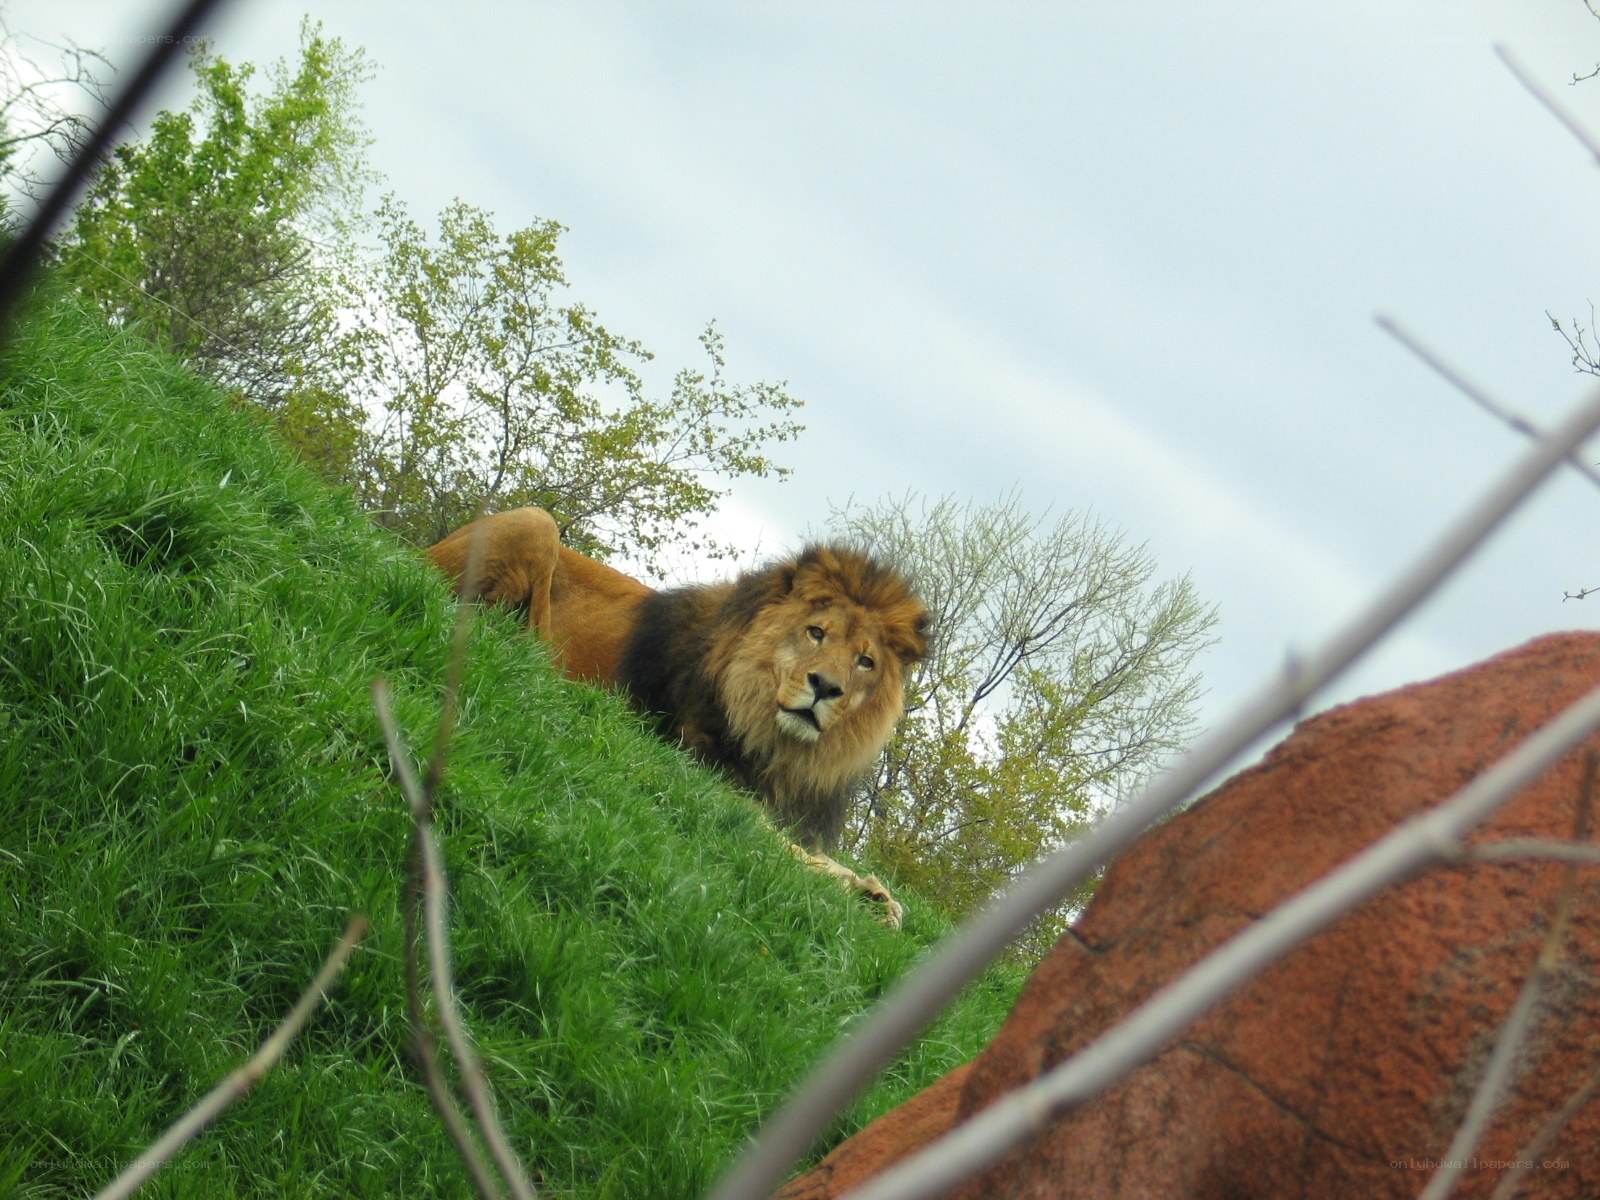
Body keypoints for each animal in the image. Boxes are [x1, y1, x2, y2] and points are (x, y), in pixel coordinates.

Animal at [426, 507, 930, 928]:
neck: (778, 746)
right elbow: (769, 838)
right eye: (816, 633)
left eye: (865, 662)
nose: (825, 687)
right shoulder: (699, 770)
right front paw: (860, 895)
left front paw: (877, 895)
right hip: (536, 521)